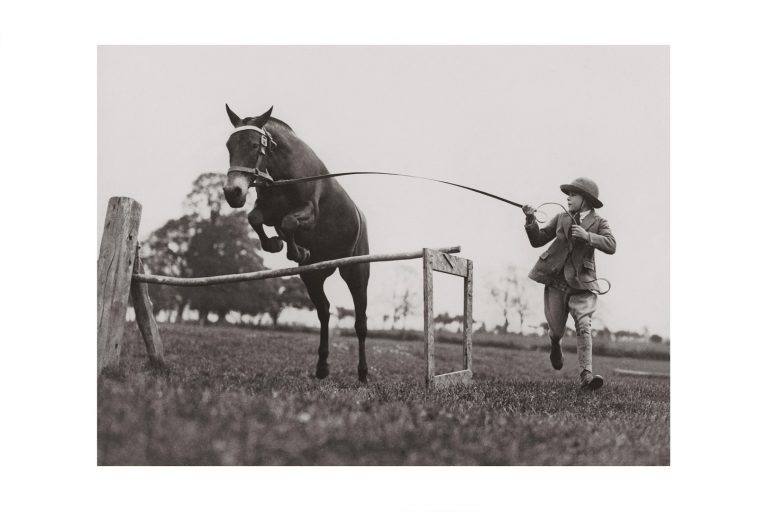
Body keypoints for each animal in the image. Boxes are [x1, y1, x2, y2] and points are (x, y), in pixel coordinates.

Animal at [220, 105, 370, 380]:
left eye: (254, 145)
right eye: (229, 145)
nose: (232, 193)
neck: (283, 171)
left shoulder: (310, 212)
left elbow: (289, 221)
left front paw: (295, 250)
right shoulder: (267, 209)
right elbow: (255, 217)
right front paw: (278, 245)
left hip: (356, 271)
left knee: (360, 322)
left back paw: (363, 373)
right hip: (313, 276)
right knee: (324, 311)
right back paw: (322, 367)